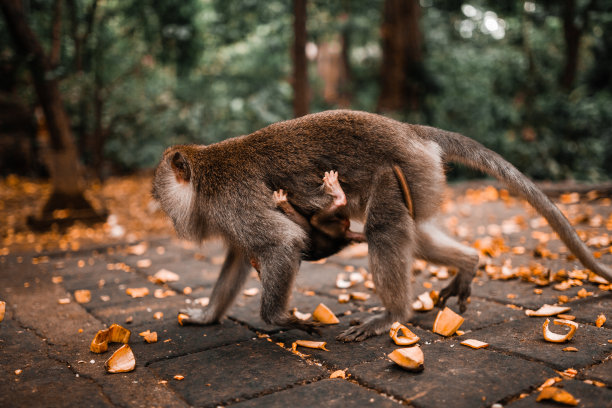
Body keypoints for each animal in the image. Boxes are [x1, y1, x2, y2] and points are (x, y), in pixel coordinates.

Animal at [153, 109, 612, 342]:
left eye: (159, 198)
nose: (165, 216)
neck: (206, 176)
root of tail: (410, 130)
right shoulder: (229, 214)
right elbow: (237, 257)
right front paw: (206, 317)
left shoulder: (232, 200)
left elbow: (282, 242)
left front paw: (279, 319)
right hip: (423, 178)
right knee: (415, 233)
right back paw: (468, 263)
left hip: (401, 168)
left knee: (383, 228)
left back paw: (393, 314)